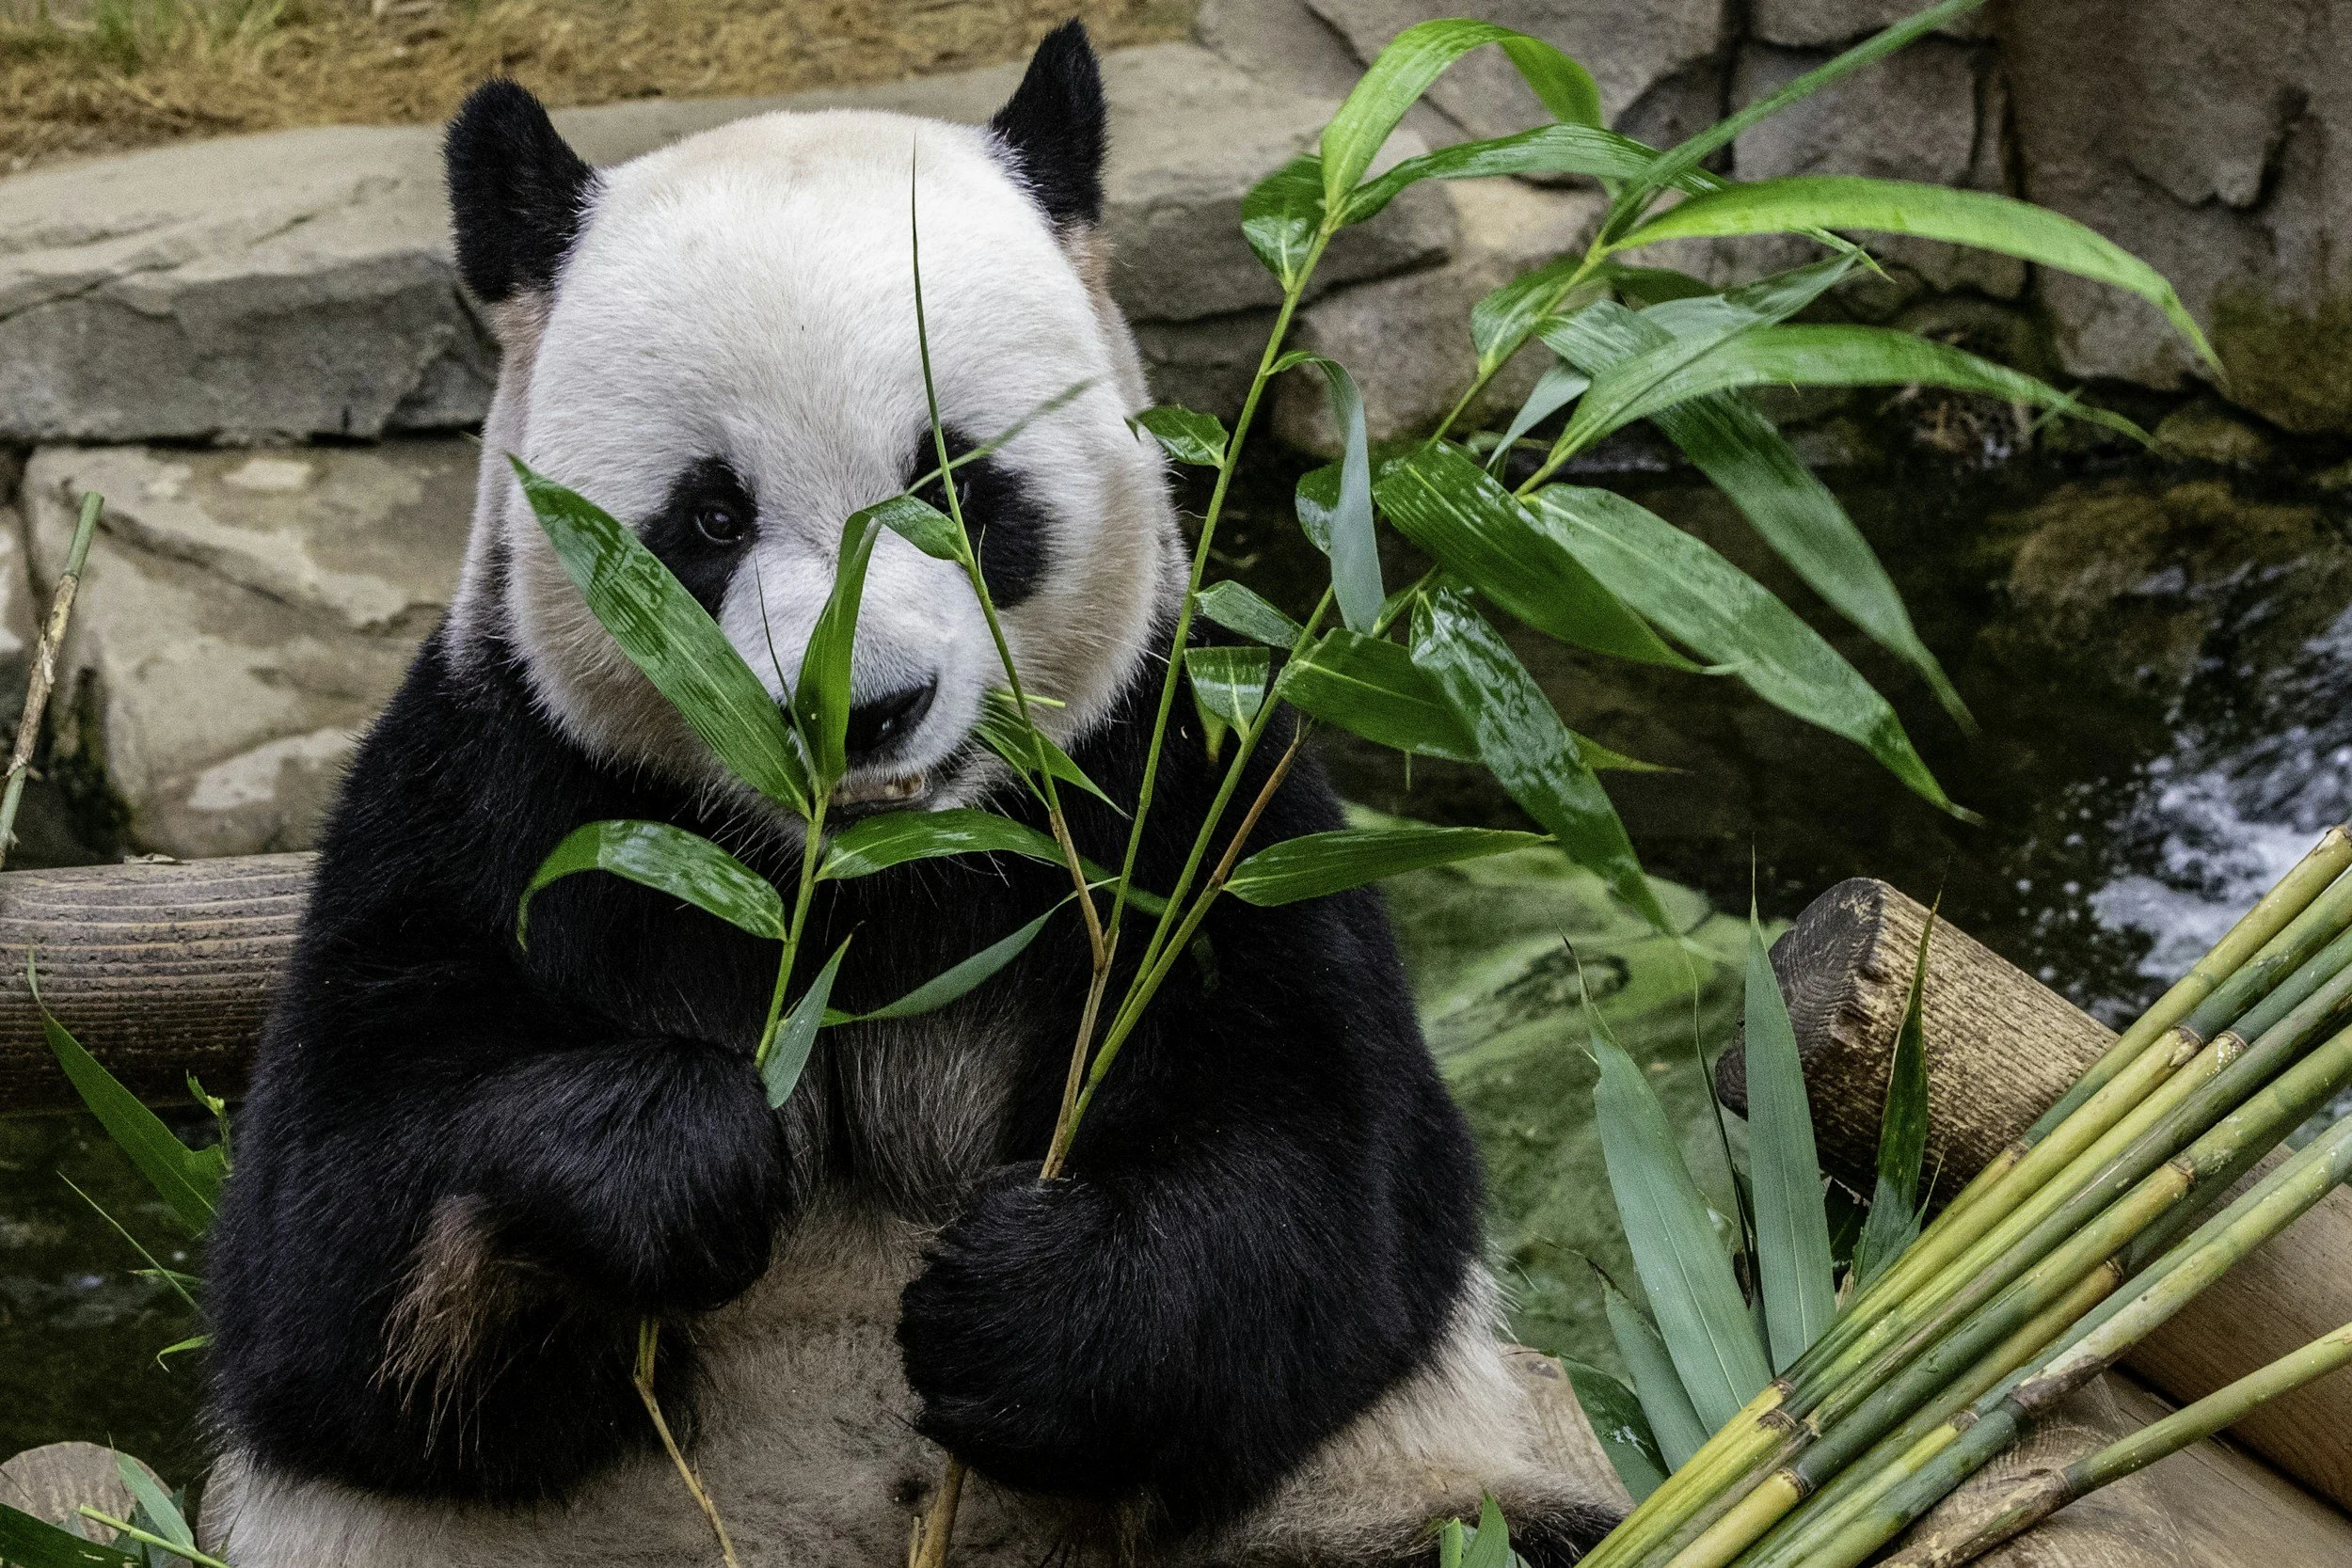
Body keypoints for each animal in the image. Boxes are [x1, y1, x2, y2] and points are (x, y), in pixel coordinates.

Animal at [200, 22, 1624, 1568]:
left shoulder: (1181, 793)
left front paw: (1021, 1306)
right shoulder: (500, 792)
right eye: (710, 516)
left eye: (952, 480)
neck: (867, 880)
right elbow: (331, 1256)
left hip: (1362, 1504)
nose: (861, 710)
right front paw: (678, 1155)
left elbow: (1333, 1183)